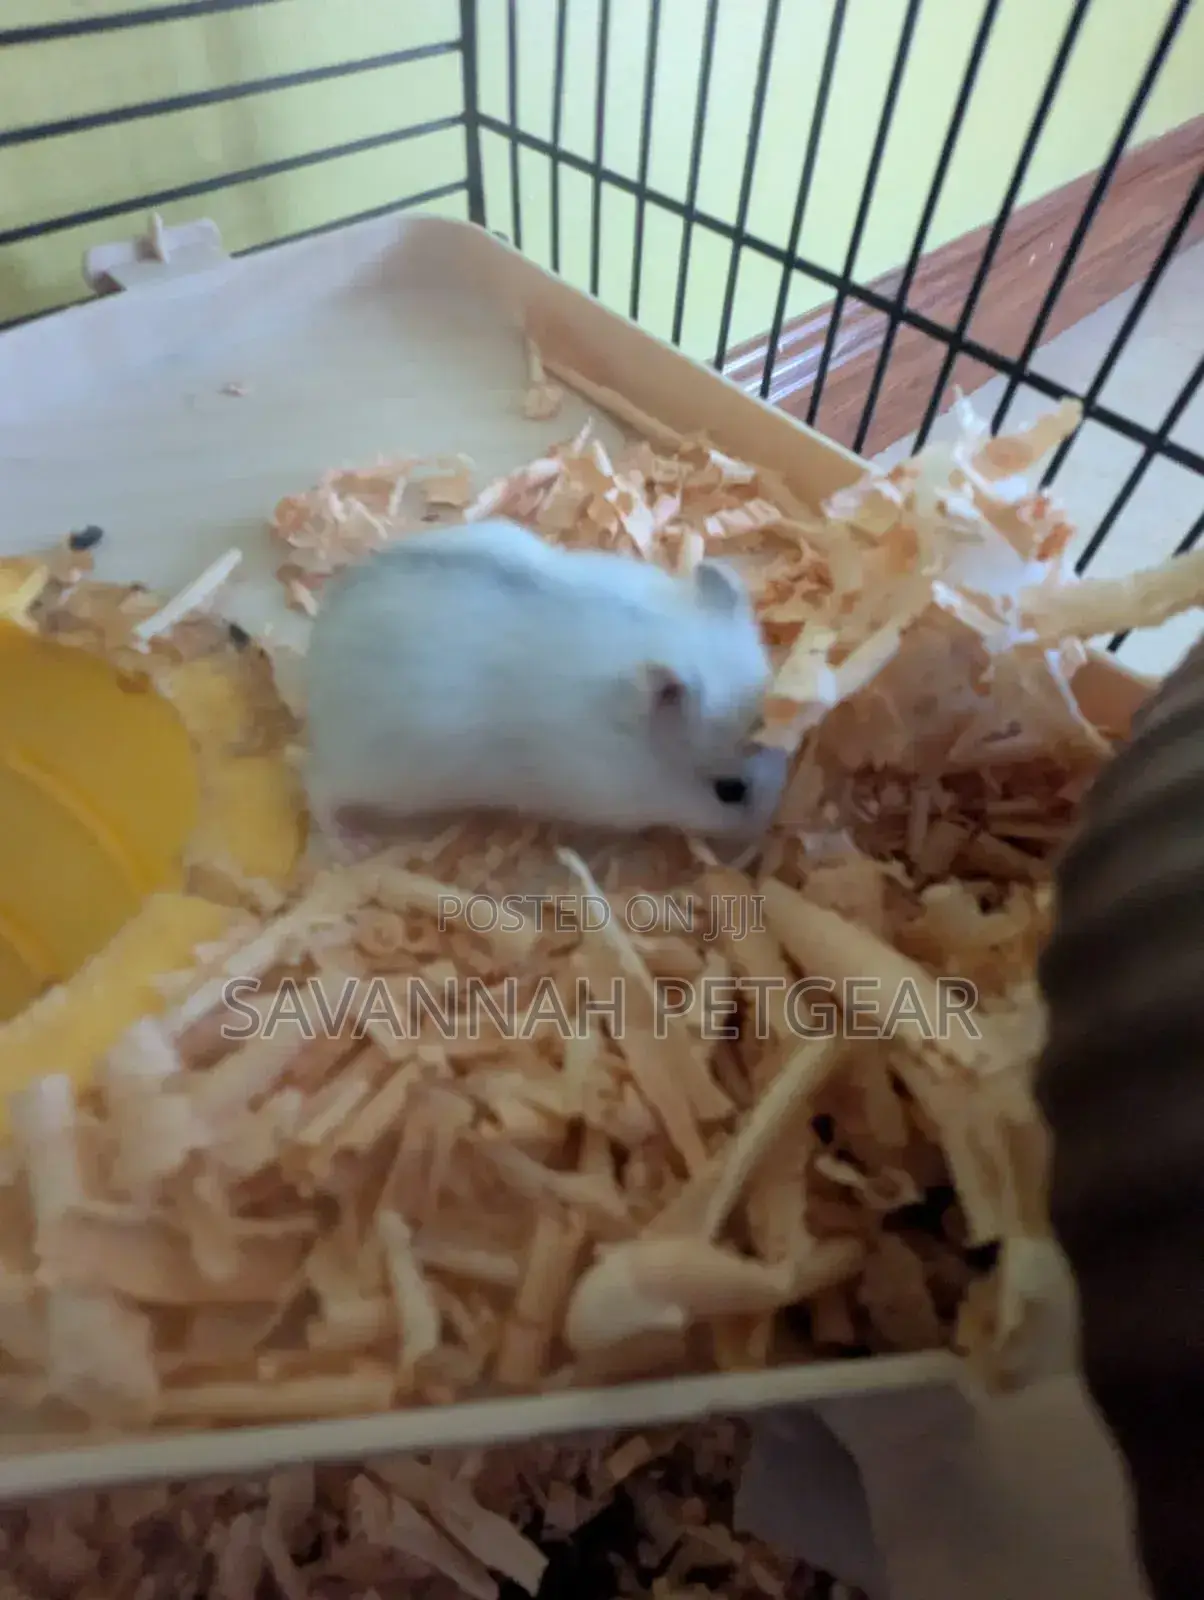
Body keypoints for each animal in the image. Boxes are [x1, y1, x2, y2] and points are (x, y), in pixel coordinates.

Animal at [302, 517, 787, 845]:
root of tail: (316, 649)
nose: (764, 832)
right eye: (729, 792)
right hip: (381, 776)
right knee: (317, 785)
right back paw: (353, 846)